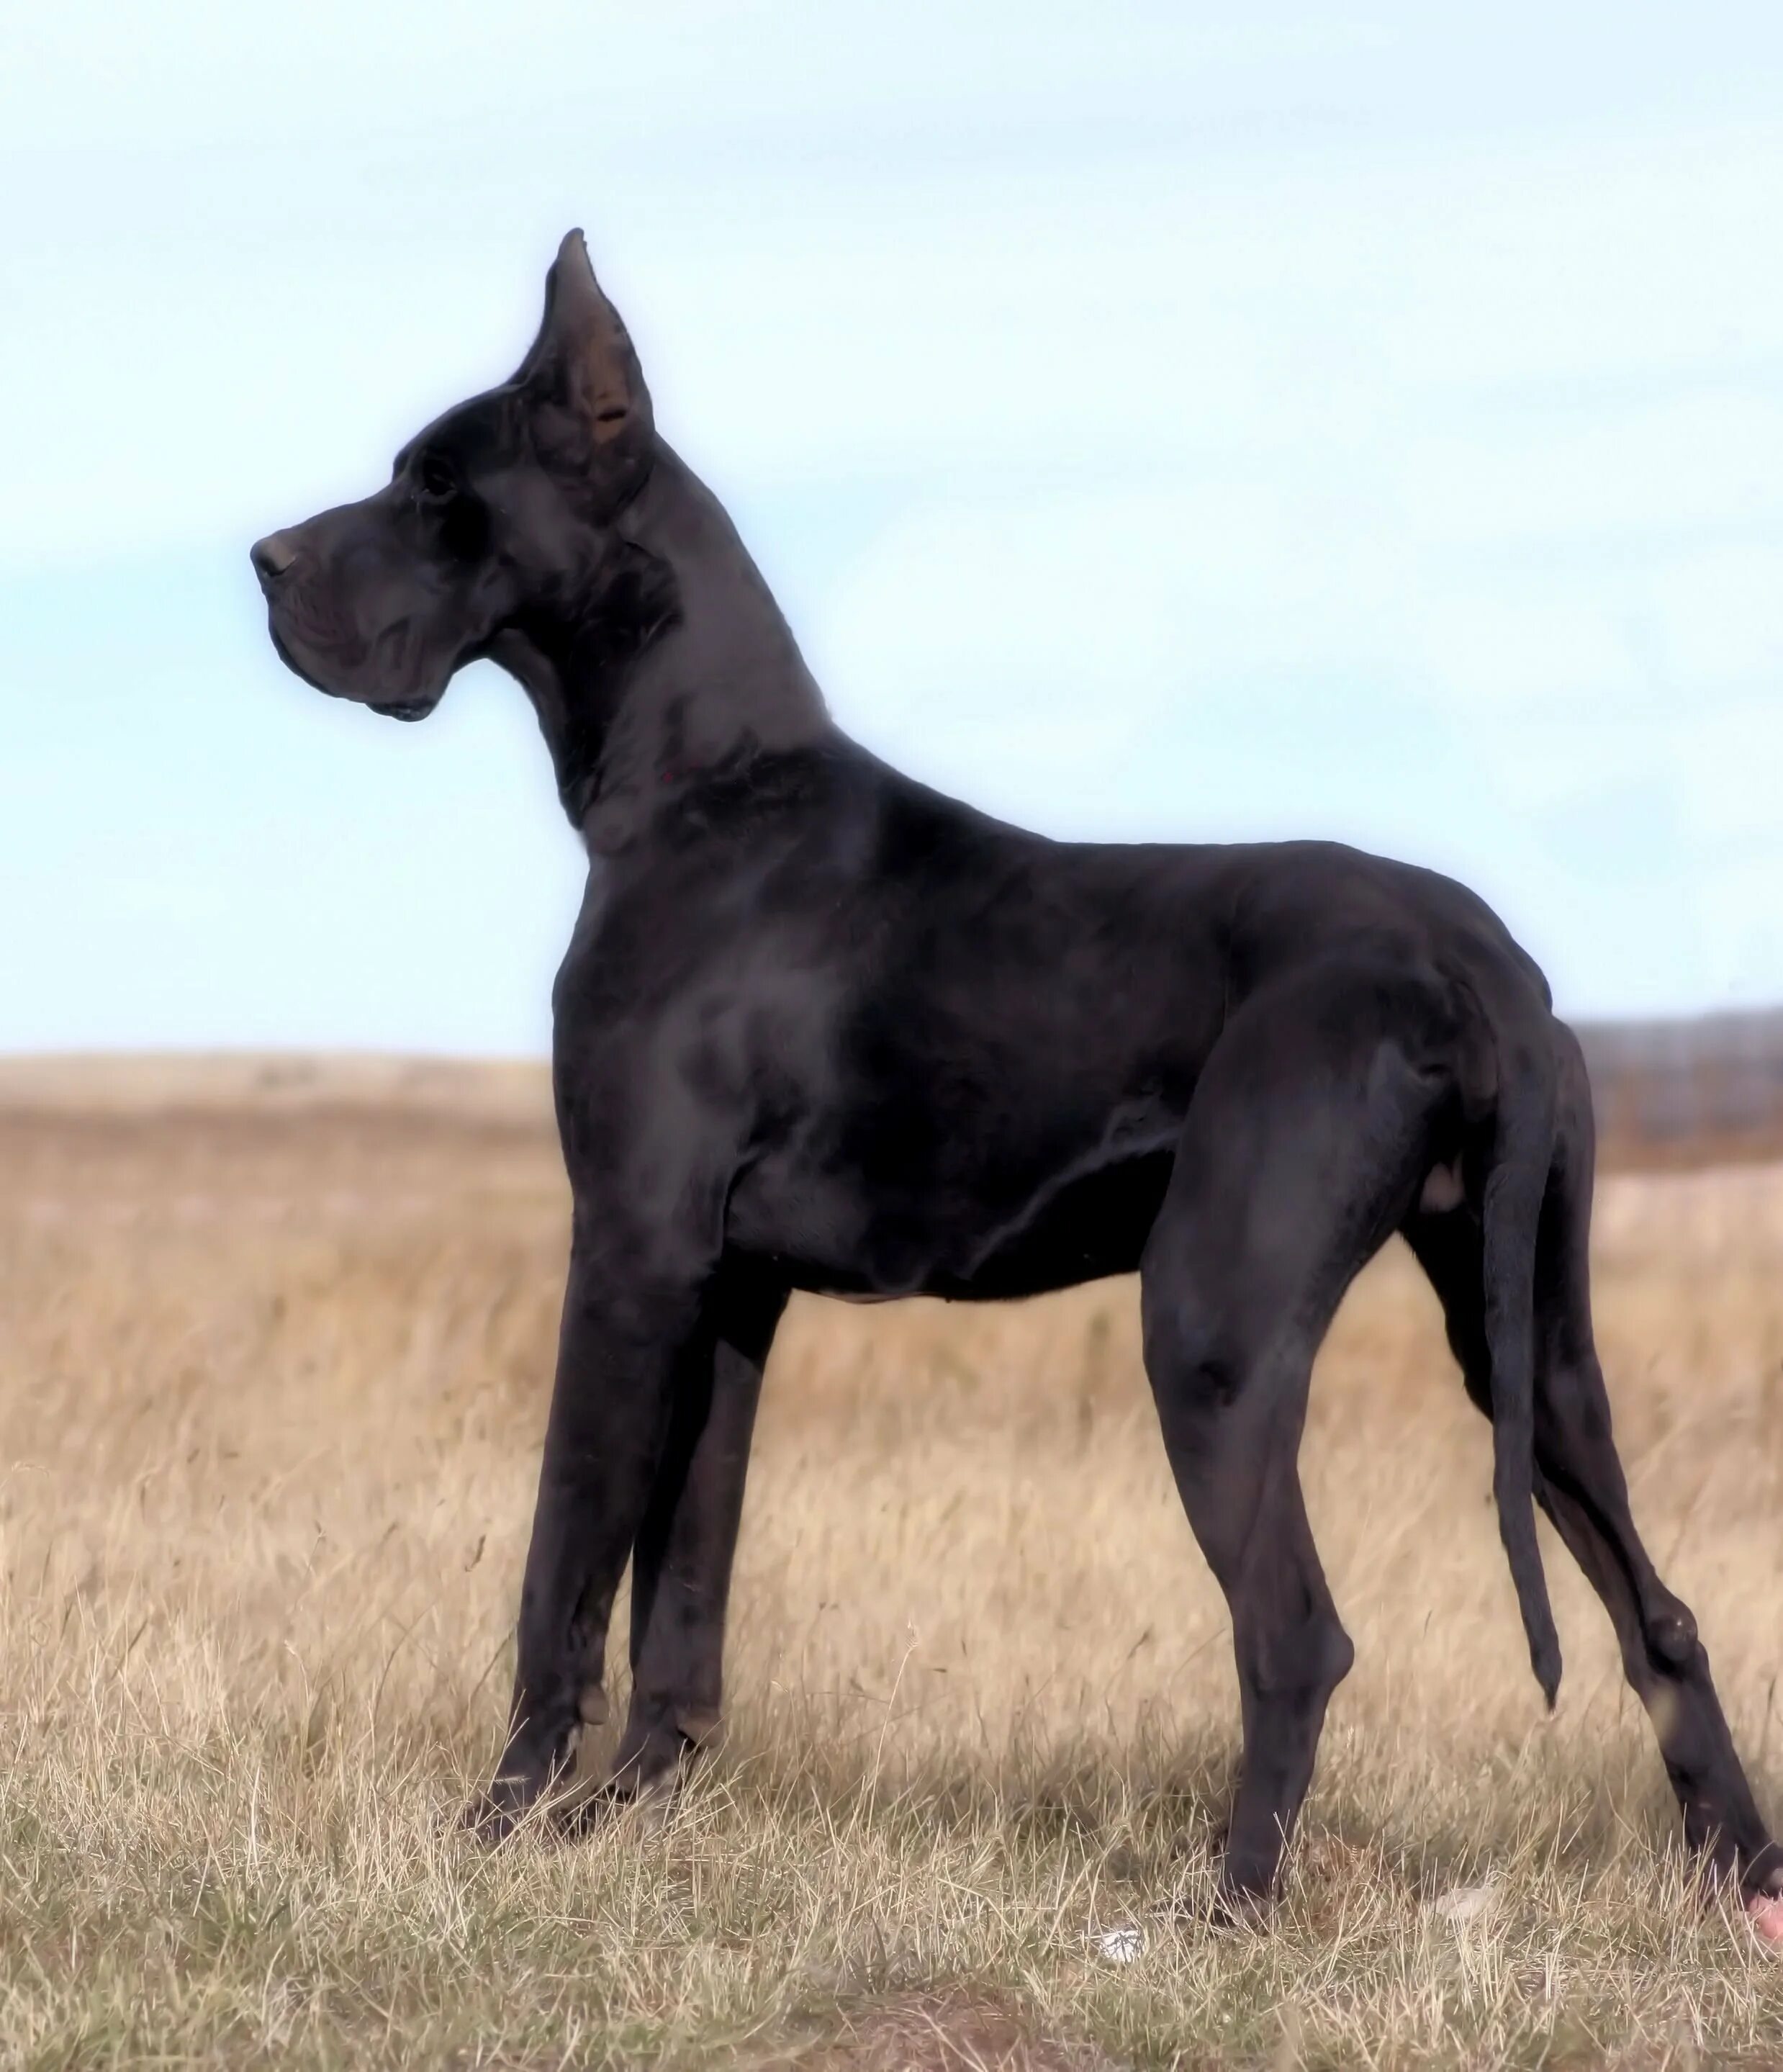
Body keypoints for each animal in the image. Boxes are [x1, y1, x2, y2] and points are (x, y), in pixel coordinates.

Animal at [253, 230, 1781, 1906]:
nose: (264, 560)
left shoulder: (630, 1250)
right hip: (1527, 1336)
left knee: (1295, 1633)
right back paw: (1737, 1874)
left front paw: (499, 1823)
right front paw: (630, 1812)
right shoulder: (728, 1291)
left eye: (436, 488)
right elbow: (682, 1590)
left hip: (1210, 1325)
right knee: (1658, 1612)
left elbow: (563, 1564)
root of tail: (1478, 961)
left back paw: (1228, 1905)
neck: (702, 788)